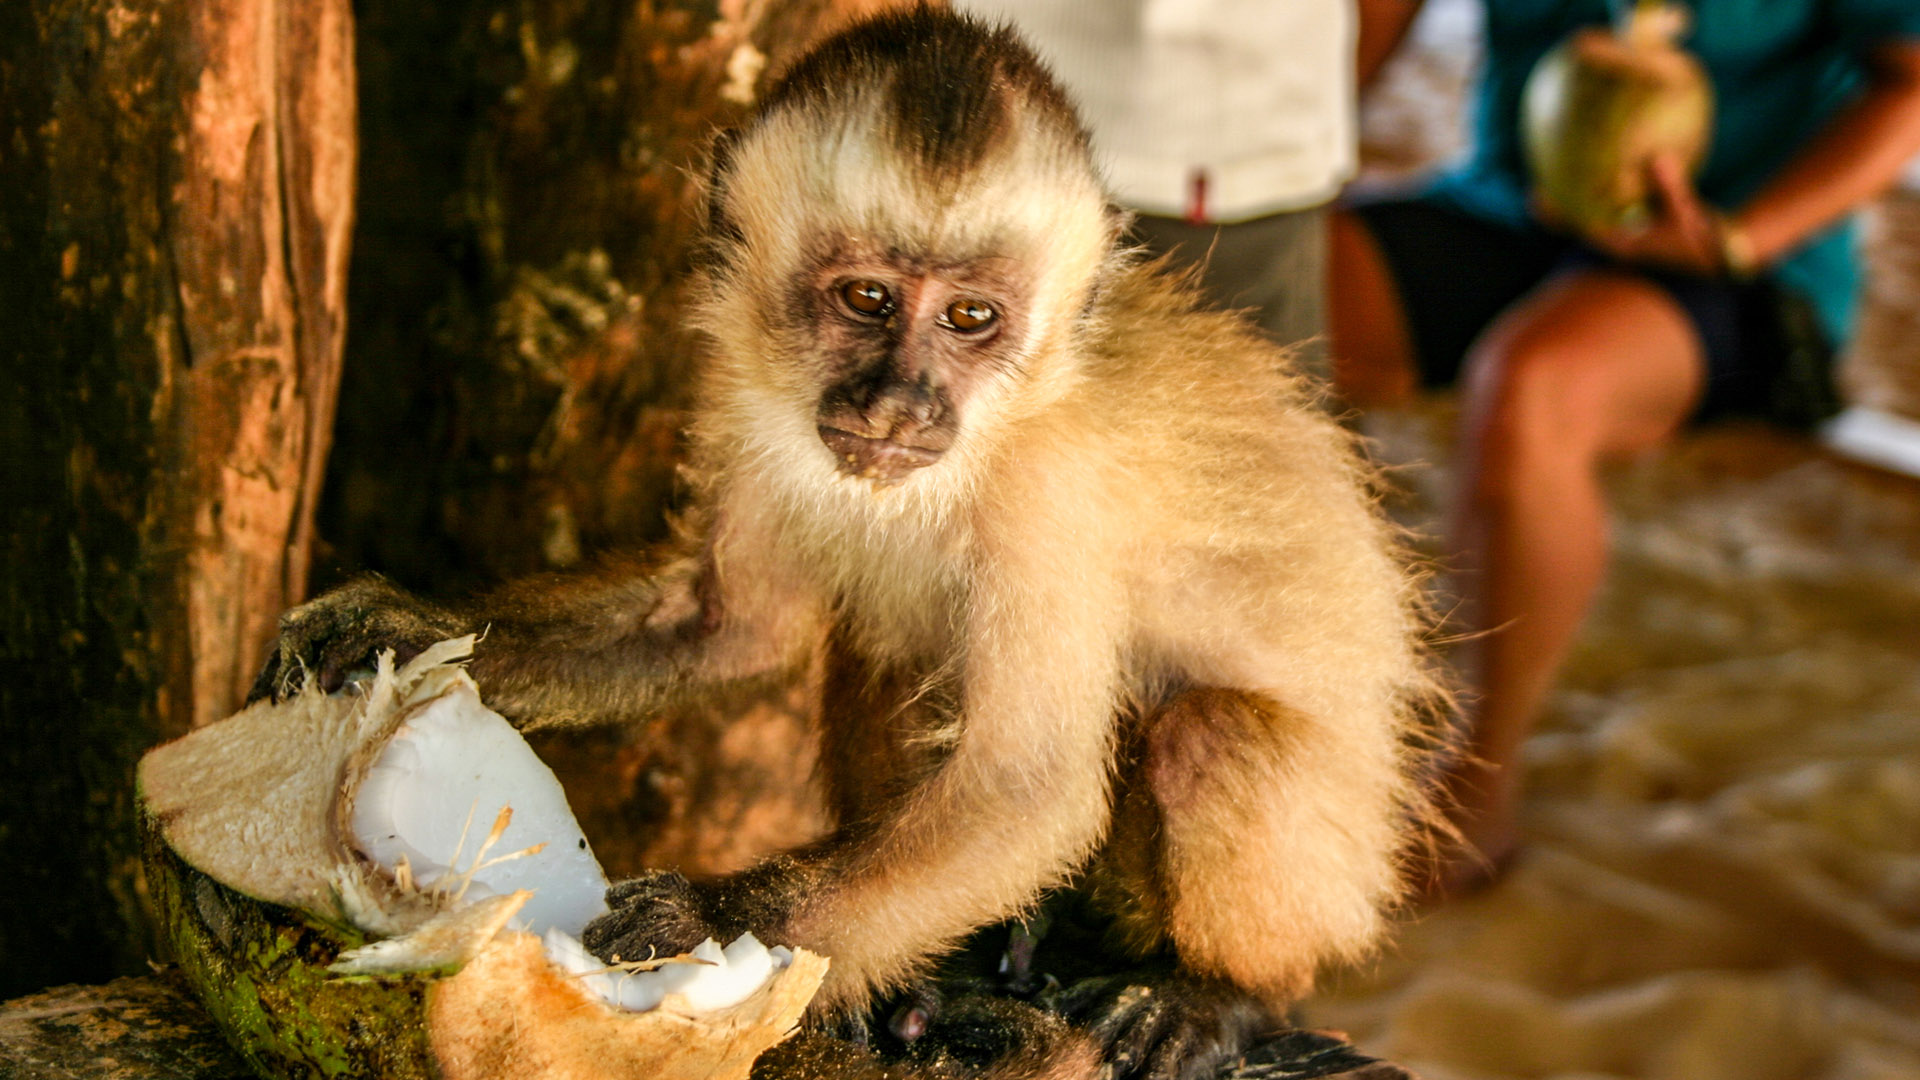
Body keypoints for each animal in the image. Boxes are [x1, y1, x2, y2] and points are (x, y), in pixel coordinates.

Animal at [259, 10, 1451, 1076]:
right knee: (880, 645)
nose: (899, 403)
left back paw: (1222, 995)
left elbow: (1025, 790)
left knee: (1213, 736)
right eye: (868, 298)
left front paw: (708, 918)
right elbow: (723, 629)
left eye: (970, 318)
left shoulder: (1051, 488)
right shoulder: (742, 384)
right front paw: (408, 625)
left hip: (1342, 872)